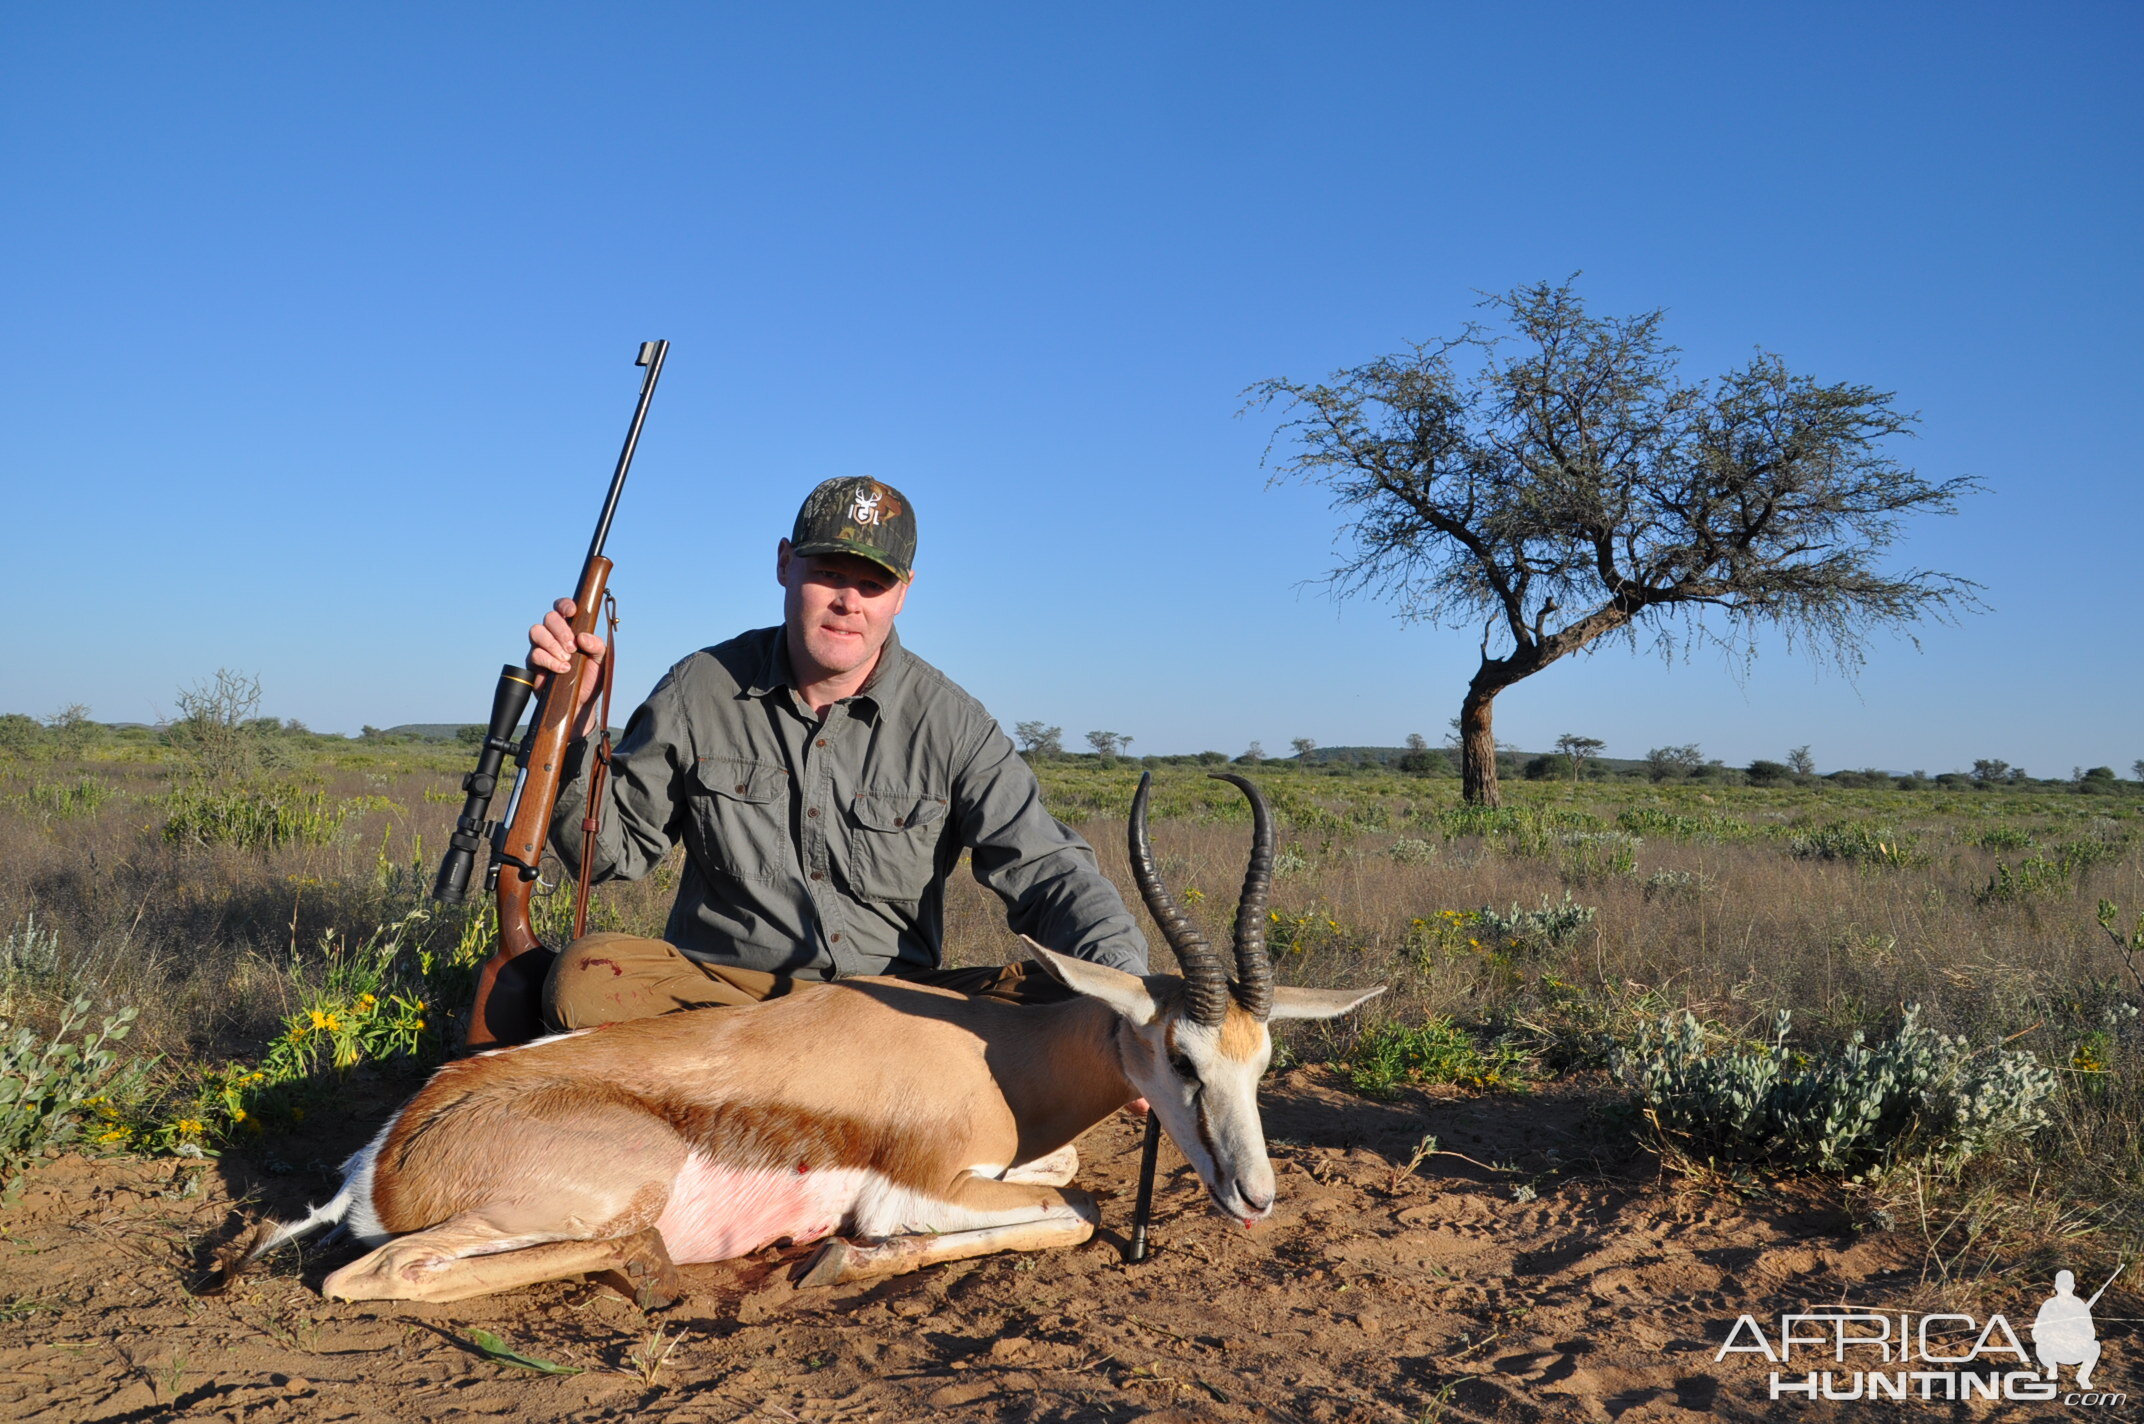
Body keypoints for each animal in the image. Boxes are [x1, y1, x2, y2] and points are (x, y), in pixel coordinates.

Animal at [226, 772, 1372, 1303]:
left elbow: (1068, 1176)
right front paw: (845, 1259)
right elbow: (1079, 1209)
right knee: (371, 1275)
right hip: (606, 1183)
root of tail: (385, 1156)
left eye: (1263, 1063)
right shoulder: (918, 1184)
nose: (1255, 1197)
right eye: (1180, 1057)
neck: (995, 1054)